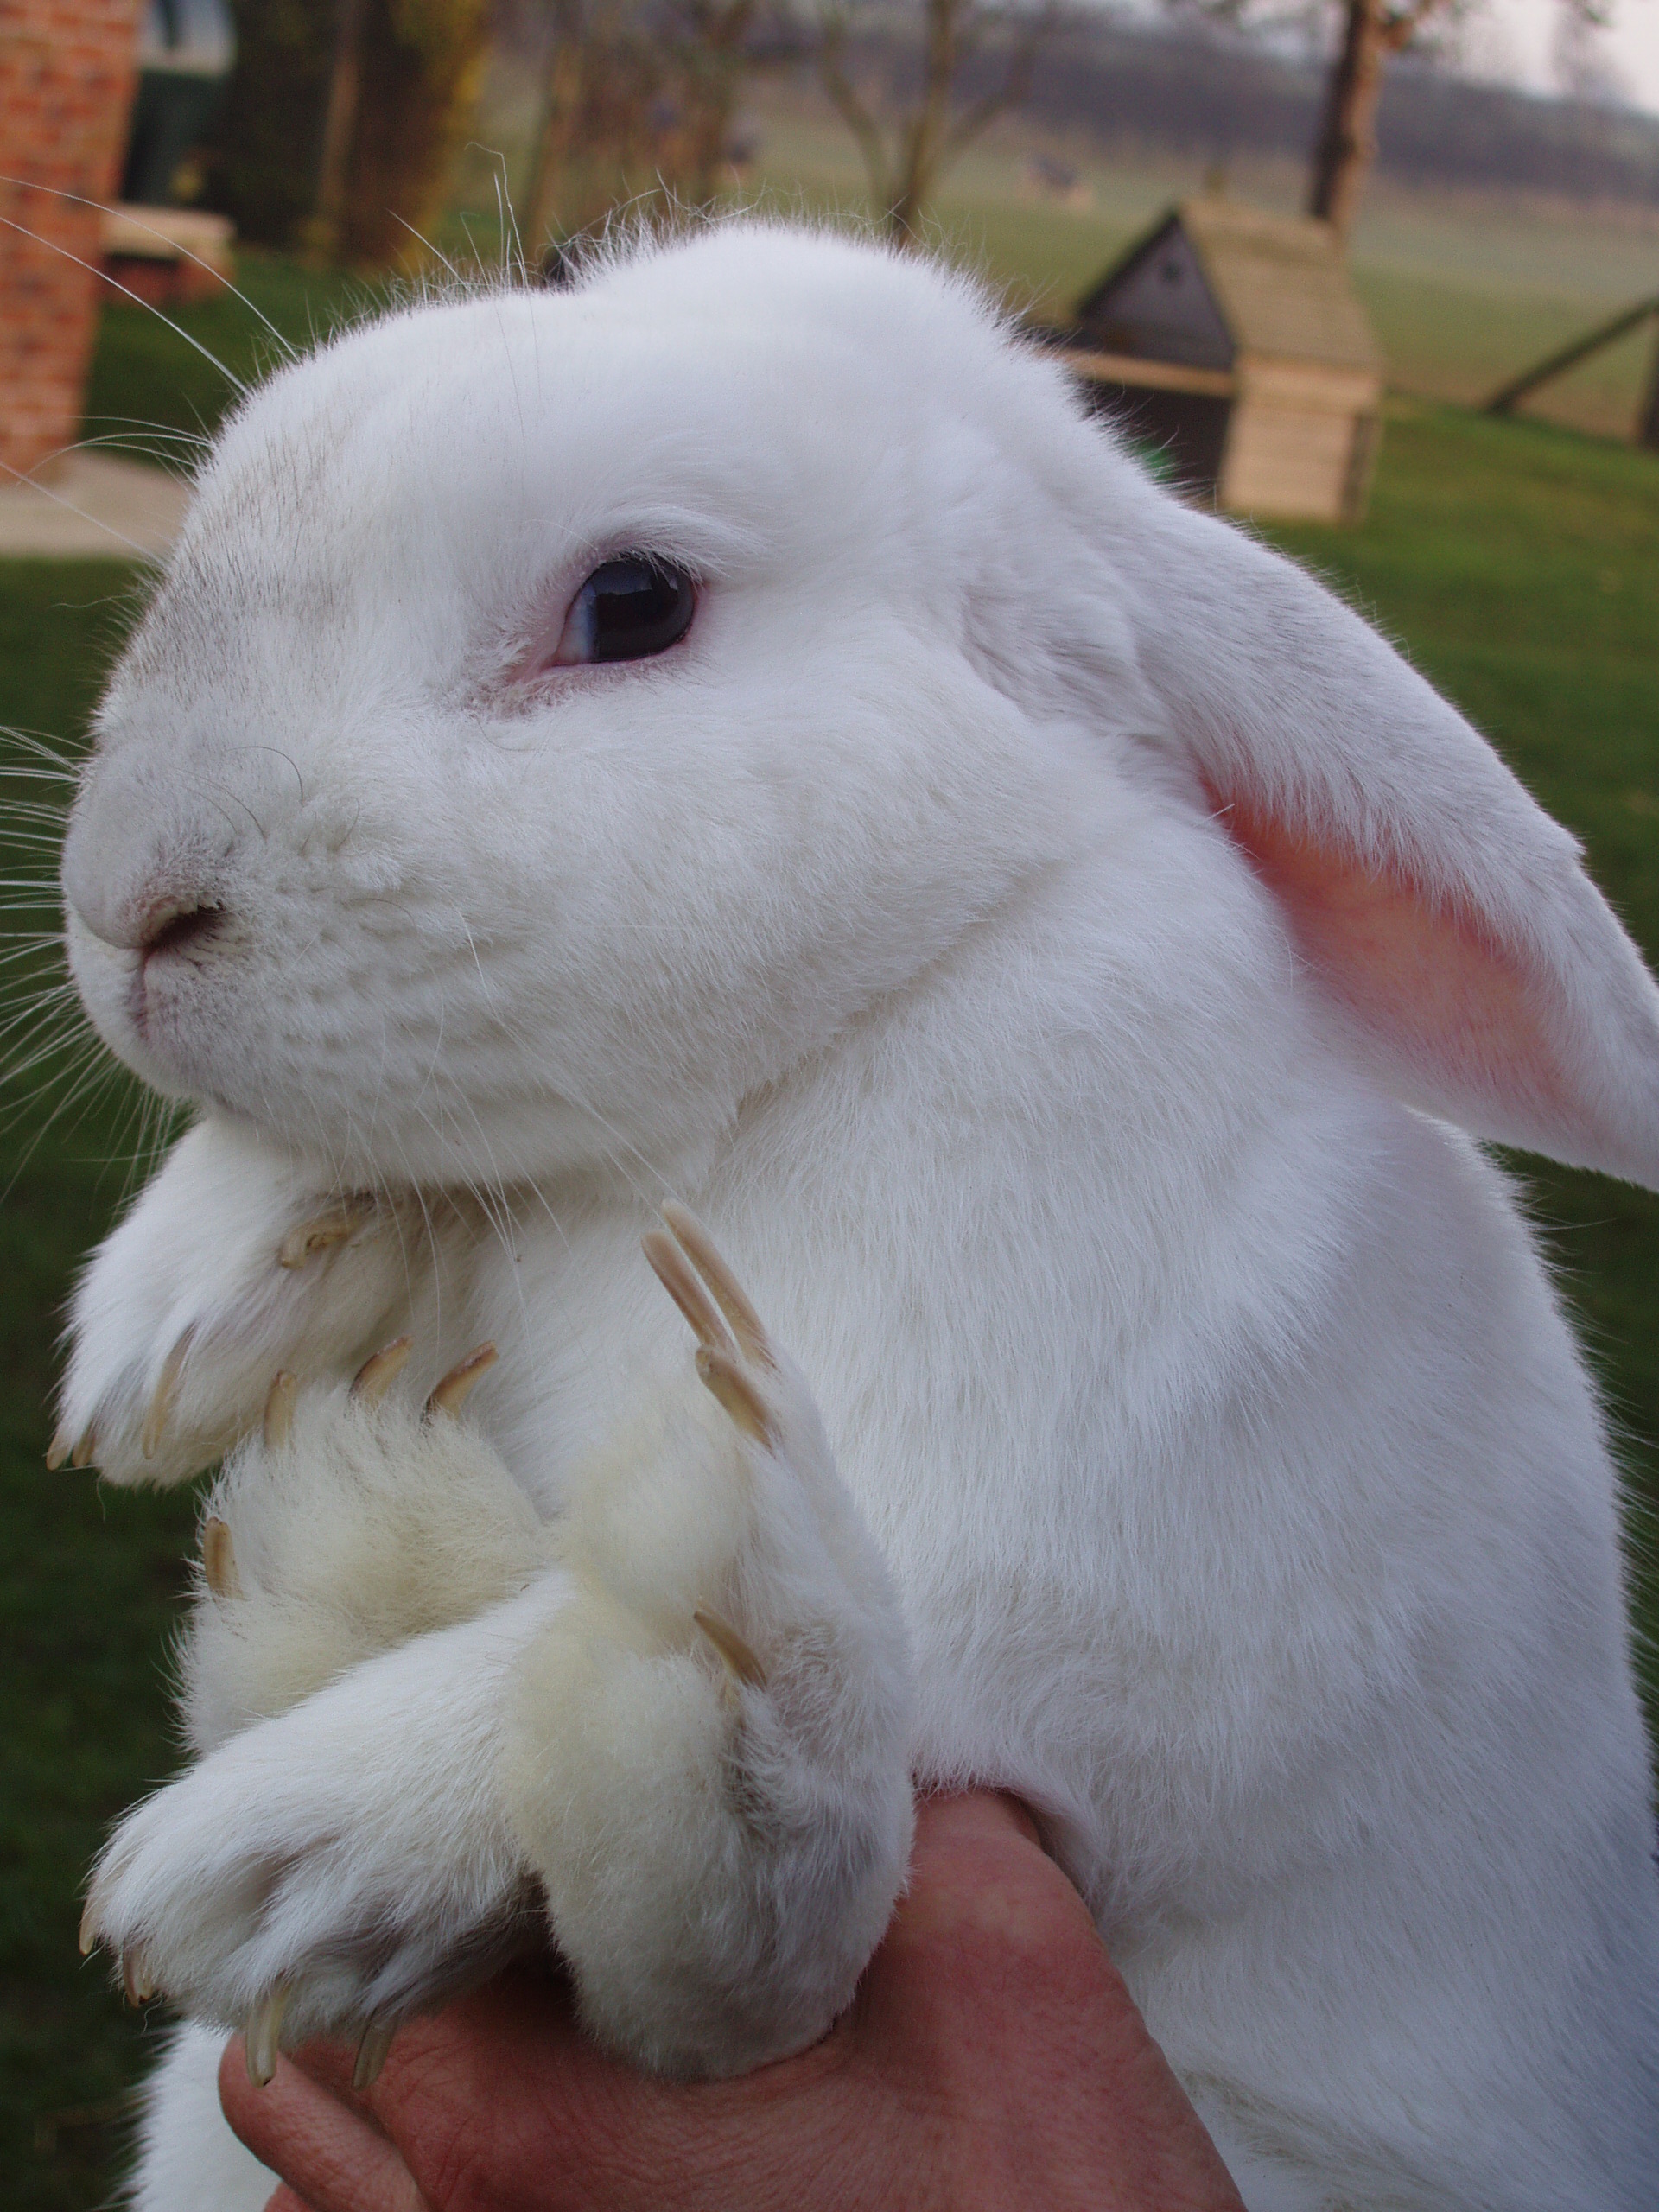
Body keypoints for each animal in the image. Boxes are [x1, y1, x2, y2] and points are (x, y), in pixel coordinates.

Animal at [51, 219, 1659, 2212]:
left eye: (635, 602)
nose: (123, 902)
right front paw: (163, 1330)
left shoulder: (1086, 1580)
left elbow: (767, 1797)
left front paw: (281, 1847)